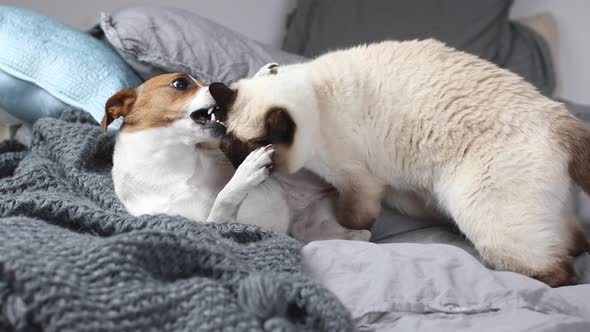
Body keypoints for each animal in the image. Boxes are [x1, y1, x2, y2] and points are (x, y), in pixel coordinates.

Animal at [101, 70, 370, 241]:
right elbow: (224, 198)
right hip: (310, 230)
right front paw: (246, 174)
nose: (220, 87)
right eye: (180, 84)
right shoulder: (213, 227)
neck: (176, 165)